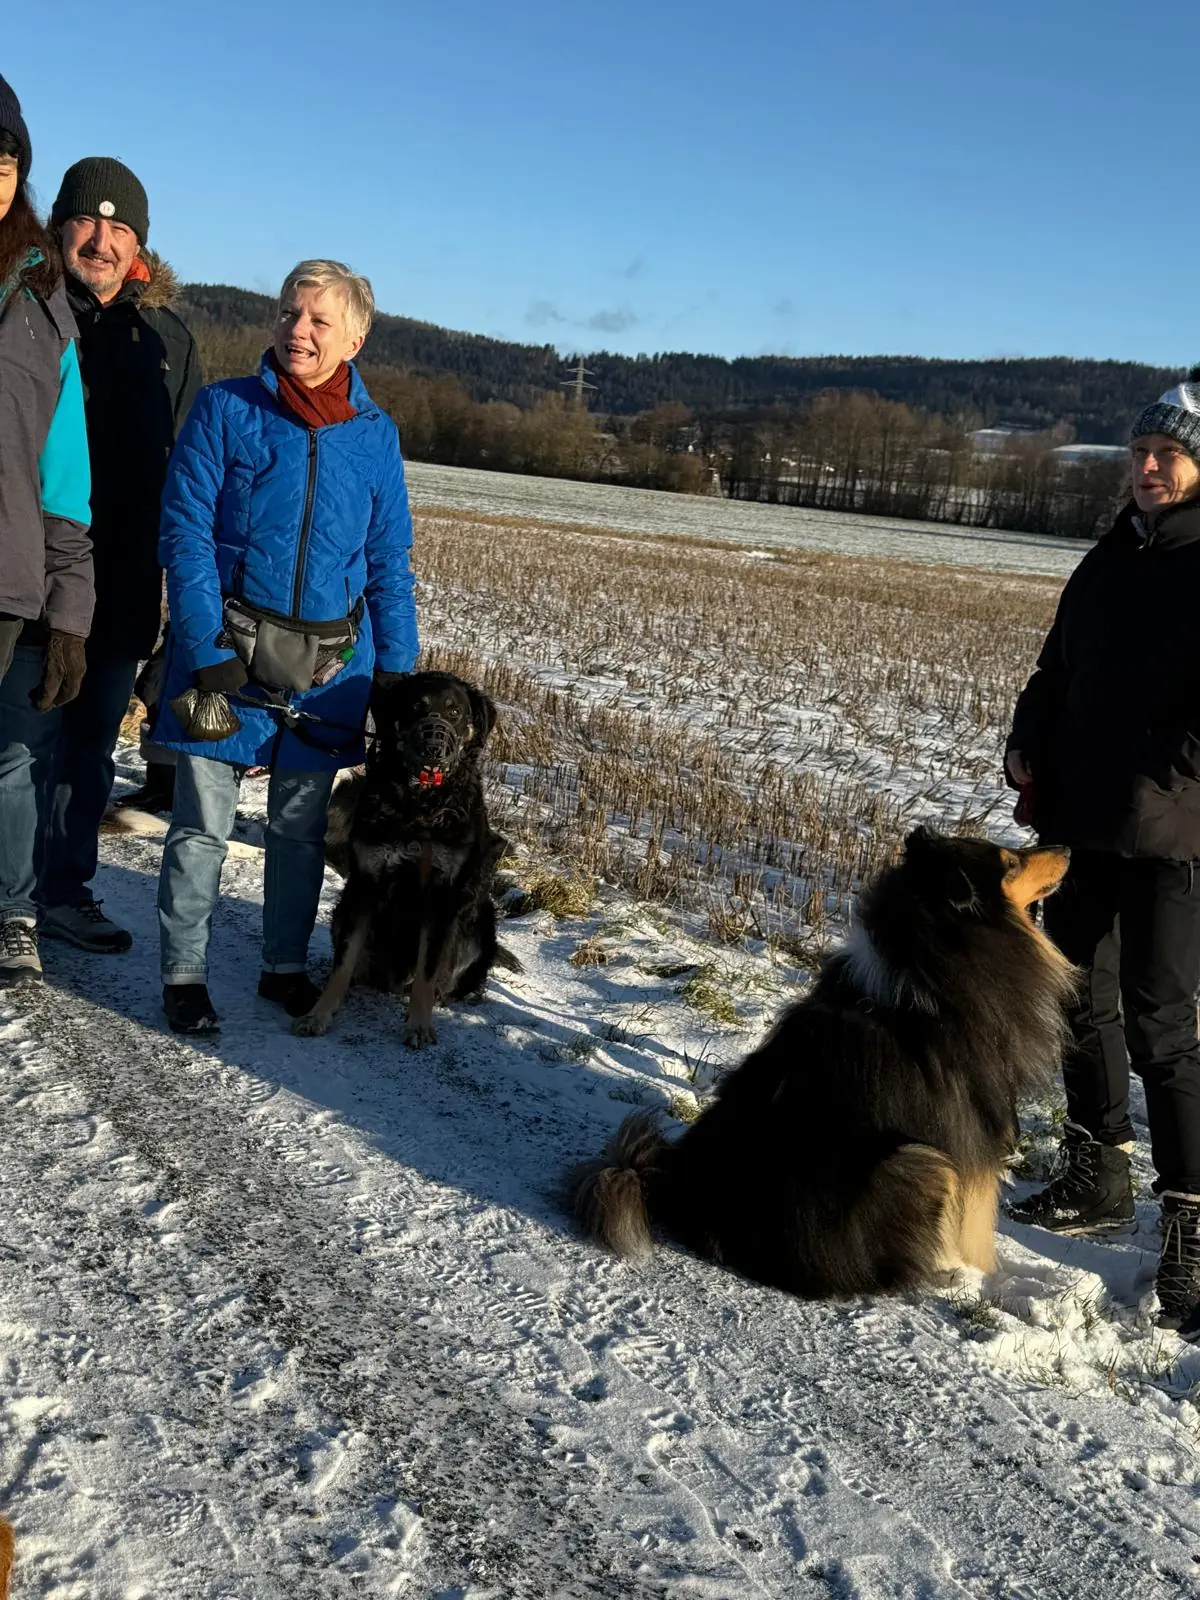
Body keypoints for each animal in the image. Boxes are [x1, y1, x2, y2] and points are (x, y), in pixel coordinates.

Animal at [295, 670, 519, 1045]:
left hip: (477, 927)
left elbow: (428, 971)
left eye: (455, 712)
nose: (434, 745)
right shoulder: (365, 884)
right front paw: (319, 1013)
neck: (419, 806)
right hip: (343, 912)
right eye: (415, 707)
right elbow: (343, 960)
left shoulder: (441, 895)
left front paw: (419, 1025)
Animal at [573, 827, 1074, 1296]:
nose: (1068, 849)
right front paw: (985, 1277)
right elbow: (976, 1221)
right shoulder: (971, 1131)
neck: (932, 960)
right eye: (1010, 863)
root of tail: (679, 1188)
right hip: (918, 1161)